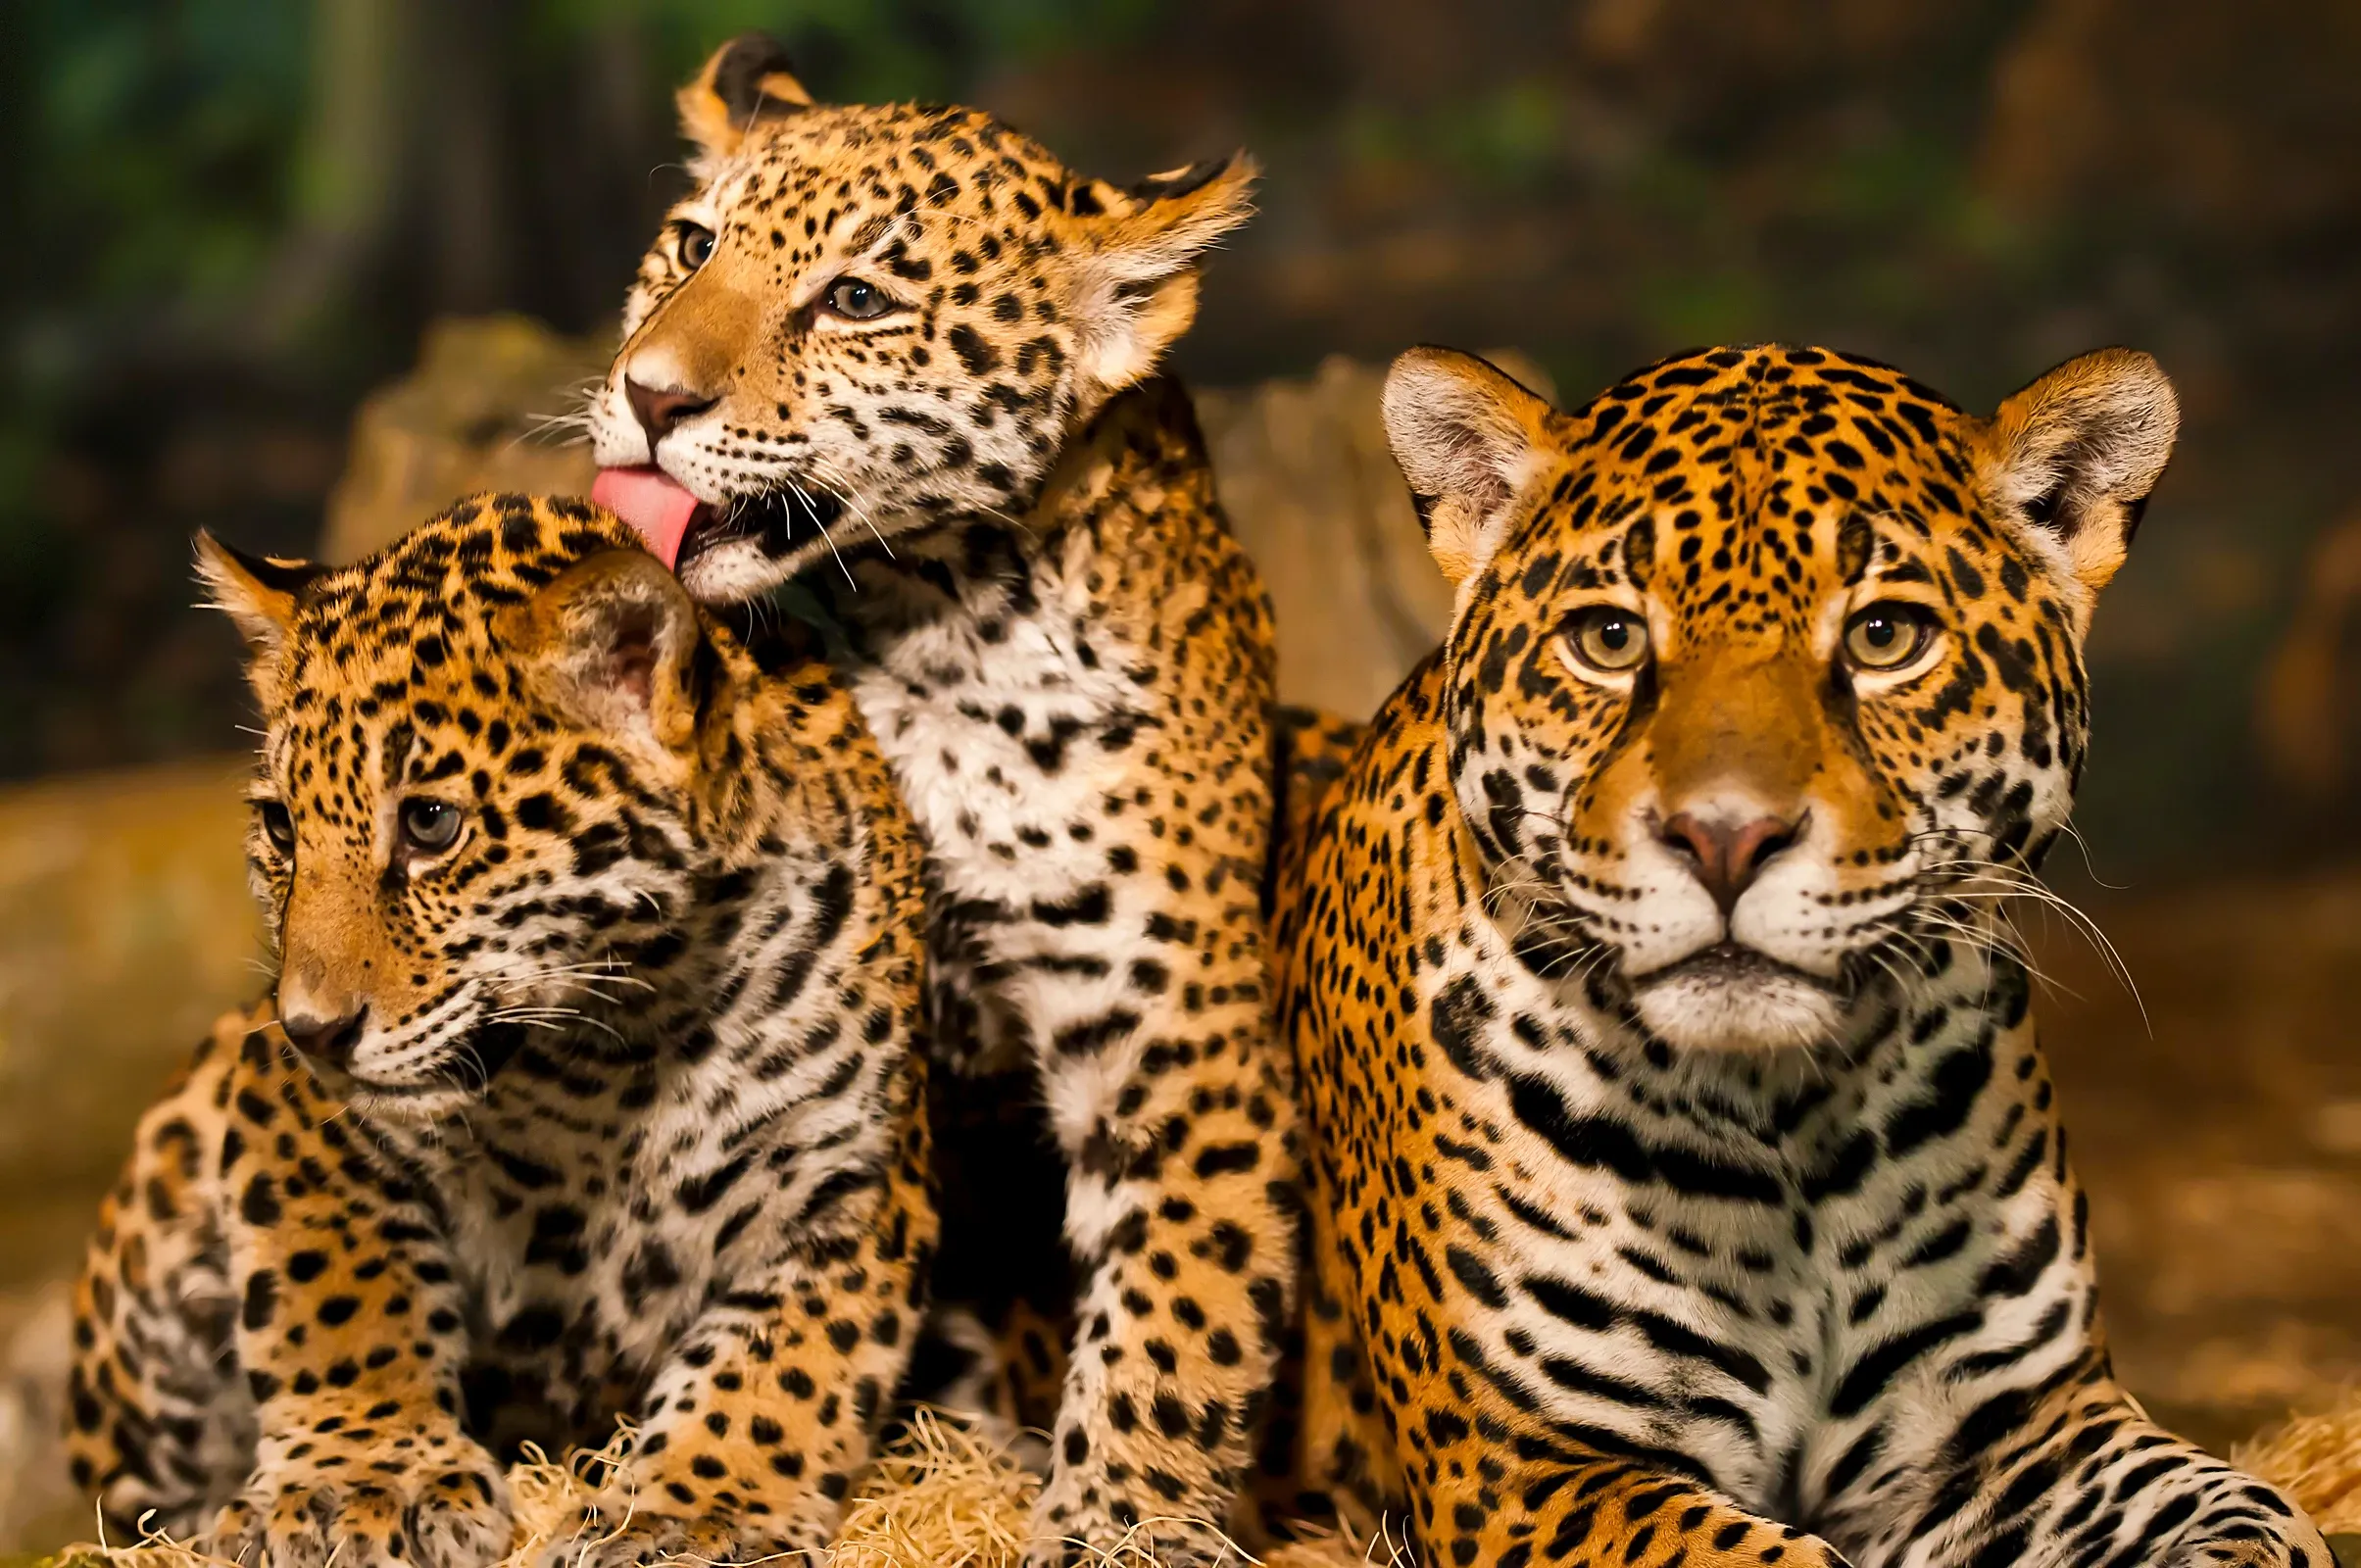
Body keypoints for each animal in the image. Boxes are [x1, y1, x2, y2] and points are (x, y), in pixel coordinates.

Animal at [65, 495, 935, 1568]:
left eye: (432, 825)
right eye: (281, 829)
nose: (312, 1030)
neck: (627, 1039)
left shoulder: (852, 1179)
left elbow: (783, 1370)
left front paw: (693, 1512)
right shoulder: (288, 1113)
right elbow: (339, 1287)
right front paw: (358, 1480)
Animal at [582, 36, 1301, 1562]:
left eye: (857, 300)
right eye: (690, 245)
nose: (648, 395)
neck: (931, 625)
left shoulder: (1181, 1039)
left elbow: (1178, 1319)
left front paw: (1119, 1523)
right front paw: (684, 1502)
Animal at [1272, 340, 2333, 1568]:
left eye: (1885, 638)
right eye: (1608, 639)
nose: (1725, 838)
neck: (1785, 1123)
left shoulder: (2022, 1422)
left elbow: (2249, 1511)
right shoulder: (1527, 1471)